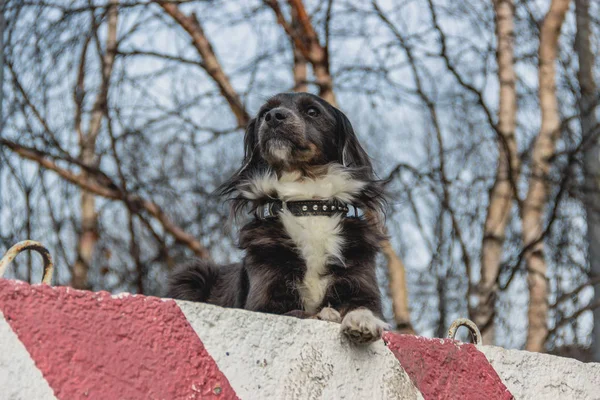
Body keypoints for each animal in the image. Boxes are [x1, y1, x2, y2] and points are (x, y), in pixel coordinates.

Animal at [166, 91, 386, 344]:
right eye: (264, 112)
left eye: (312, 111)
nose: (273, 117)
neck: (307, 205)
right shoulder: (265, 304)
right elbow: (302, 313)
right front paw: (327, 314)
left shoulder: (361, 283)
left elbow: (363, 307)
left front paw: (361, 319)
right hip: (191, 273)